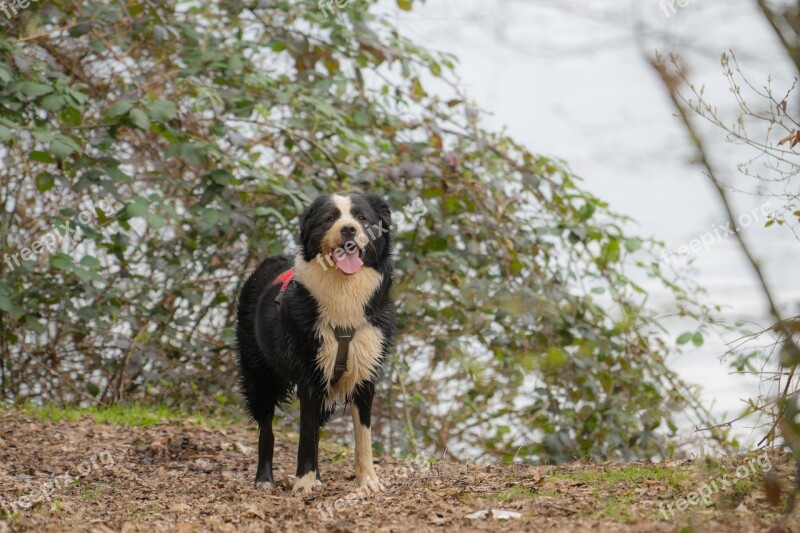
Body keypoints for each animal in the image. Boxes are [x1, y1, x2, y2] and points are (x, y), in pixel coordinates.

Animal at [234, 192, 396, 494]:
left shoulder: (365, 373)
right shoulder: (310, 374)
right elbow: (307, 432)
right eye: (330, 218)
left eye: (362, 217)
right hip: (259, 375)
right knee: (266, 429)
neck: (344, 290)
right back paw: (264, 479)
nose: (349, 229)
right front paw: (305, 482)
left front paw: (368, 481)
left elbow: (363, 436)